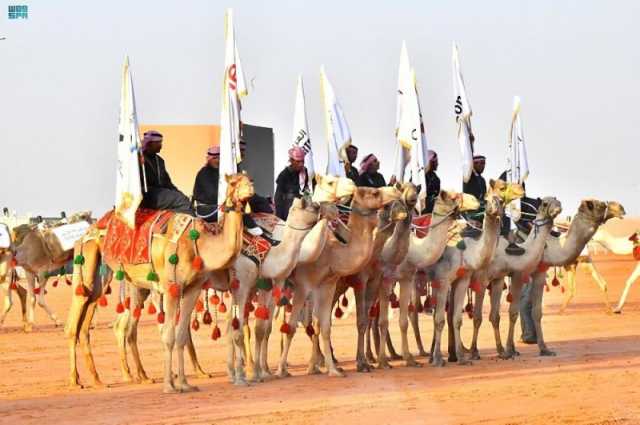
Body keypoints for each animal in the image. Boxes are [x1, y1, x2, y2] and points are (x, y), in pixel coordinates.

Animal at [66, 172, 254, 390]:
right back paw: (75, 380)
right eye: (233, 182)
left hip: (115, 279)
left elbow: (181, 335)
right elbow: (169, 335)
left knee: (101, 320)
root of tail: (87, 232)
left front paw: (185, 383)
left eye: (247, 178)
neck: (200, 244)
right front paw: (170, 385)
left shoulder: (193, 288)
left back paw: (106, 379)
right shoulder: (172, 286)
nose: (250, 187)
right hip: (87, 260)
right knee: (78, 316)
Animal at [274, 184, 400, 376]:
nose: (396, 190)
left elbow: (324, 325)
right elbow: (293, 326)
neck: (333, 252)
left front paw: (332, 370)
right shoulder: (305, 286)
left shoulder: (328, 285)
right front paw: (282, 370)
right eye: (374, 192)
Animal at [468, 195, 564, 358]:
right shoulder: (486, 279)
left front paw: (505, 351)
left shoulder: (499, 278)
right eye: (545, 204)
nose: (558, 208)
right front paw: (478, 352)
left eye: (558, 201)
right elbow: (481, 317)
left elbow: (496, 316)